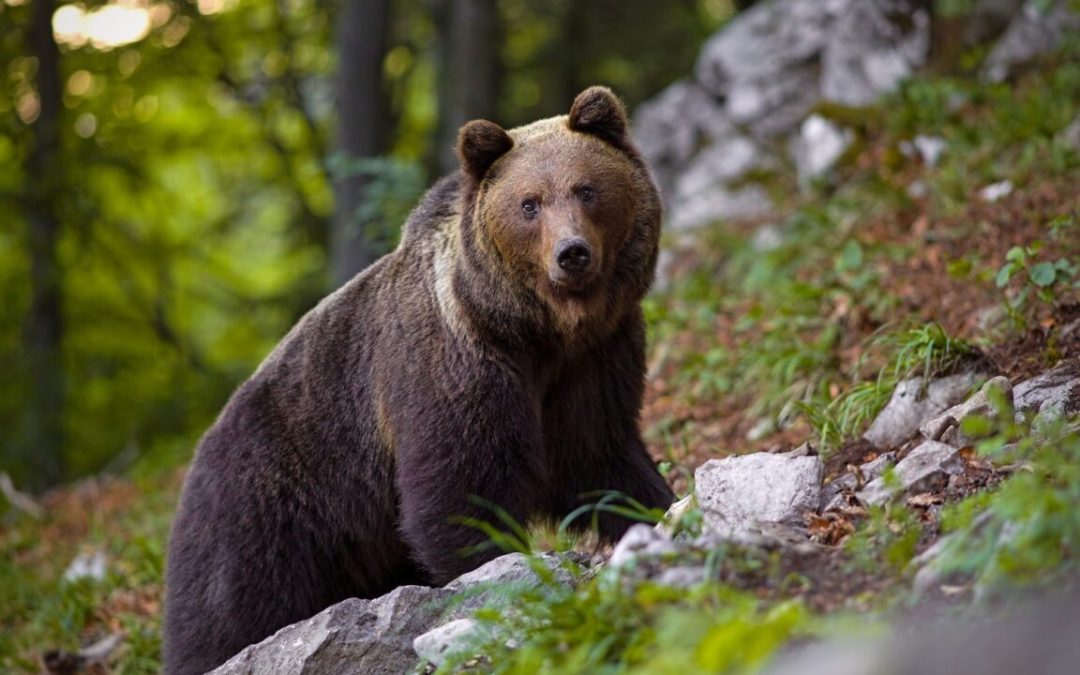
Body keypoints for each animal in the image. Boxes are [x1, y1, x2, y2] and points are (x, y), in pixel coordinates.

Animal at [163, 86, 669, 669]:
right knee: (229, 612)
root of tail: (194, 459)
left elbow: (599, 455)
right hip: (264, 508)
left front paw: (654, 509)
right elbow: (461, 487)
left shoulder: (595, 360)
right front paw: (497, 574)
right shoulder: (455, 364)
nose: (572, 254)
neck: (536, 332)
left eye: (586, 189)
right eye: (529, 203)